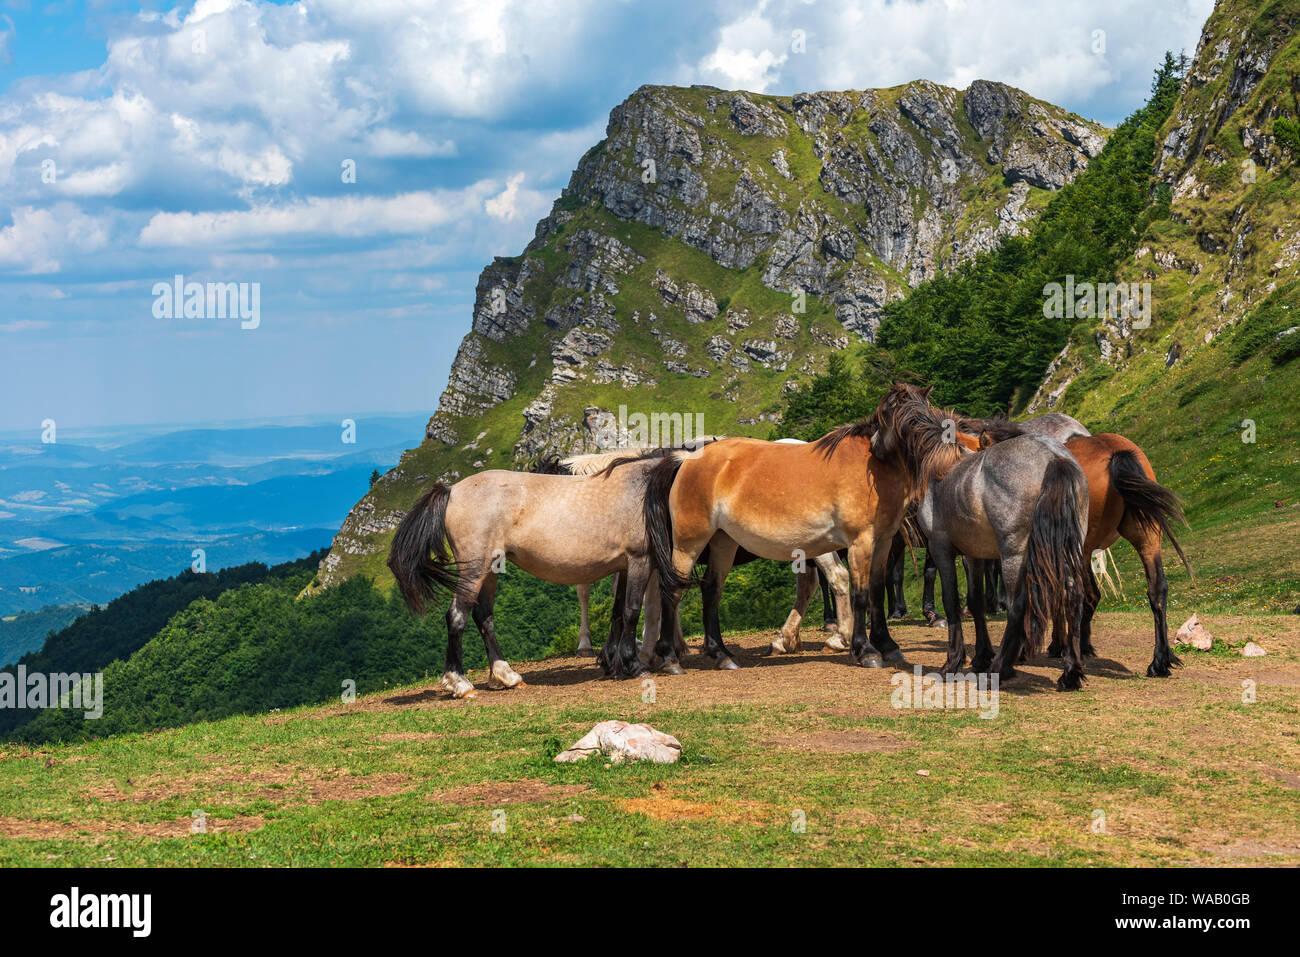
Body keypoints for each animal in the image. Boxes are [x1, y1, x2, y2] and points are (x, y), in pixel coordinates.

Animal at [387, 447, 691, 696]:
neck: (641, 488)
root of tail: (452, 490)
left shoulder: (624, 566)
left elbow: (618, 613)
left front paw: (614, 662)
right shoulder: (639, 560)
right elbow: (631, 610)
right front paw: (633, 664)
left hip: (490, 570)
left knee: (483, 617)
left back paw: (505, 675)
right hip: (474, 569)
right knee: (457, 616)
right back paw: (459, 682)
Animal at [642, 421, 909, 670]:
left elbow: (657, 600)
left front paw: (663, 648)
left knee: (837, 577)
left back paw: (838, 637)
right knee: (808, 584)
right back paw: (786, 639)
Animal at [873, 384, 1097, 691]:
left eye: (881, 416)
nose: (872, 446)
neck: (939, 465)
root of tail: (1055, 457)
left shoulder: (941, 548)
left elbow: (952, 601)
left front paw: (953, 663)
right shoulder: (974, 554)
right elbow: (977, 601)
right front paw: (980, 657)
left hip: (1014, 555)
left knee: (1018, 606)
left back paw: (1001, 668)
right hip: (1065, 549)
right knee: (1073, 595)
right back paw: (1070, 672)